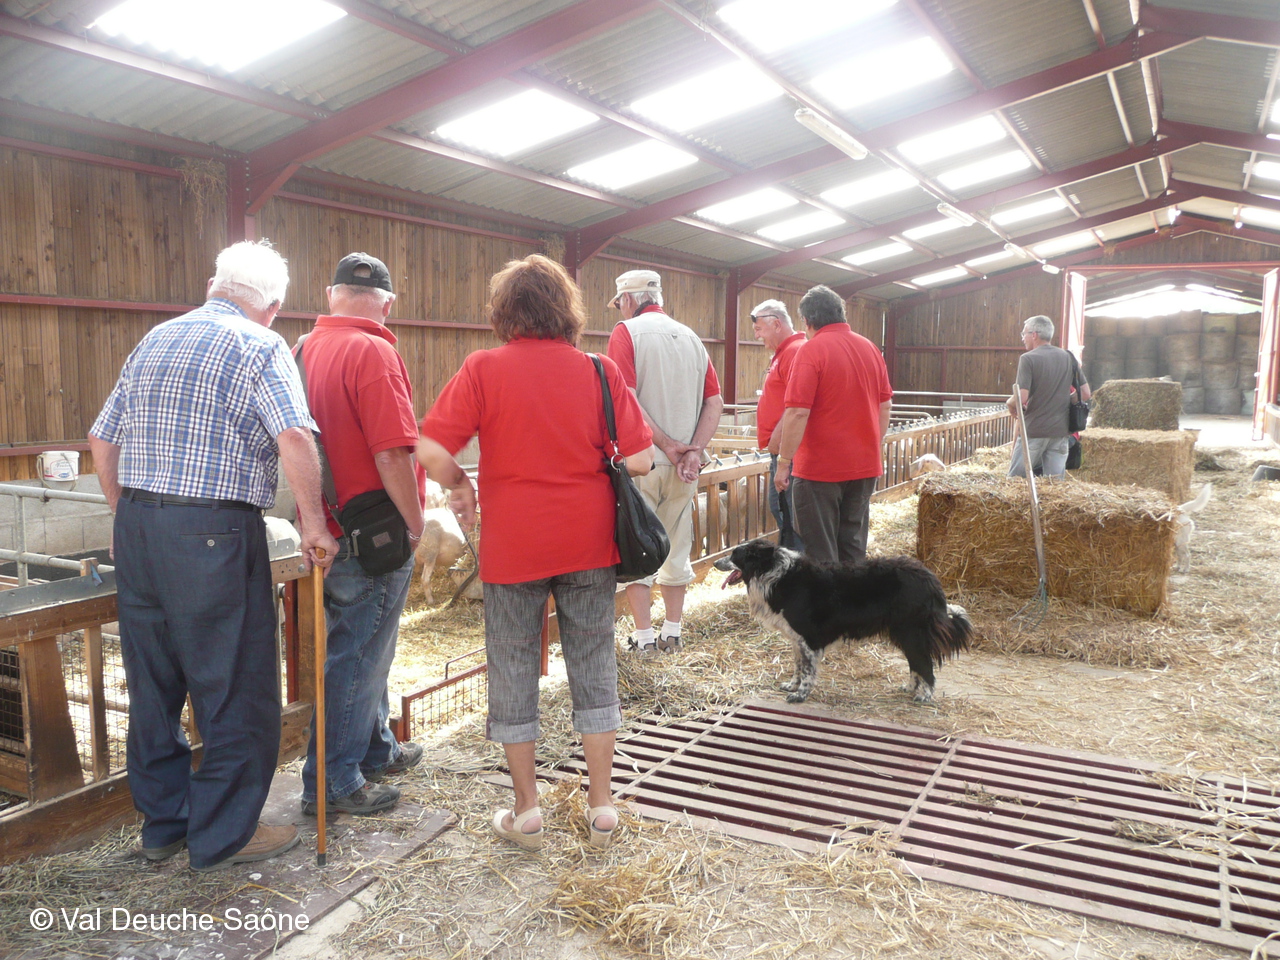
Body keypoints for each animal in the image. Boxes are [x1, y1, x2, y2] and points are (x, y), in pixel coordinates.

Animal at [721, 539, 971, 703]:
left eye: (734, 555)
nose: (716, 563)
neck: (775, 574)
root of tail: (930, 578)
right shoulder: (796, 639)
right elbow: (798, 666)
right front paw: (792, 686)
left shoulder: (809, 639)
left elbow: (808, 670)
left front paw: (800, 694)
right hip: (902, 633)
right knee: (915, 665)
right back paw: (909, 688)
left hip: (911, 632)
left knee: (925, 666)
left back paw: (924, 696)